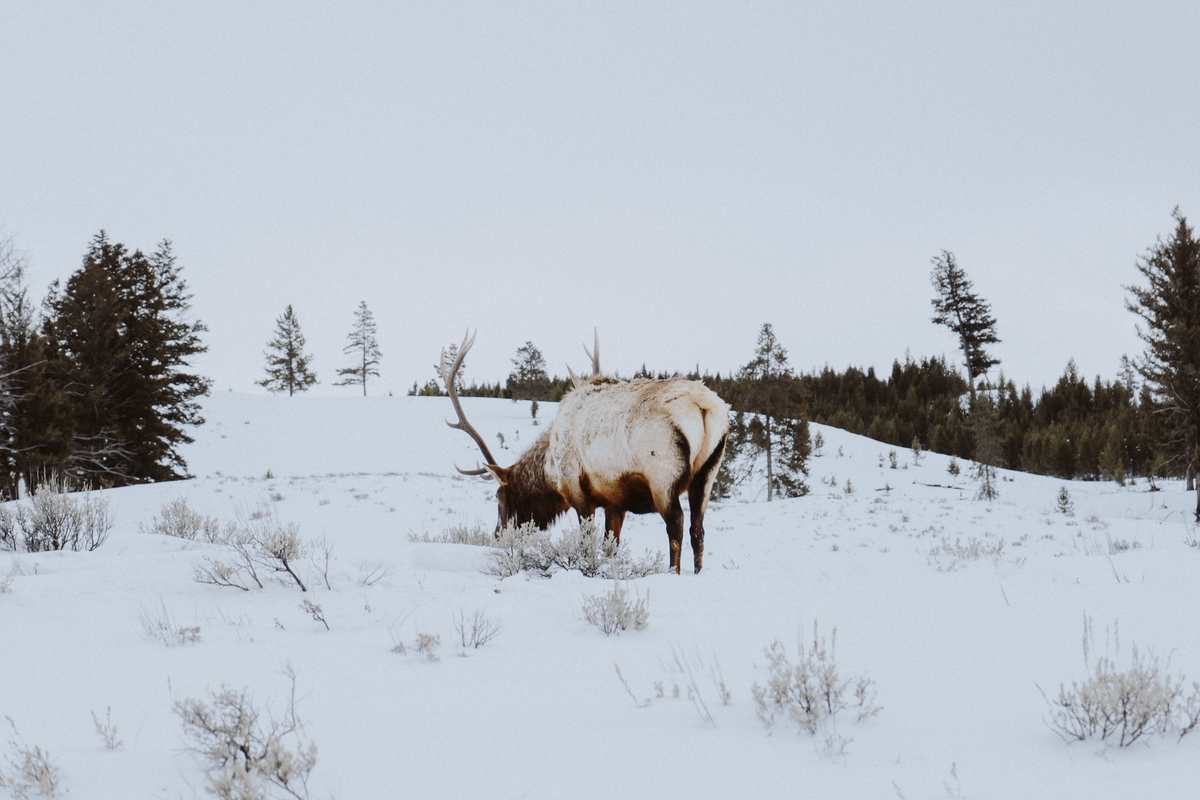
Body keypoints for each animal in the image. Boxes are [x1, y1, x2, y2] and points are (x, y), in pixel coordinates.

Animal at [440, 330, 730, 574]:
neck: (550, 469)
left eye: (499, 498)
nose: (498, 536)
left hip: (662, 475)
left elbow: (586, 543)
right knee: (697, 529)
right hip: (707, 473)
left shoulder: (578, 491)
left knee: (676, 525)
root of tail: (703, 406)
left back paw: (673, 573)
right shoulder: (615, 501)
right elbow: (611, 546)